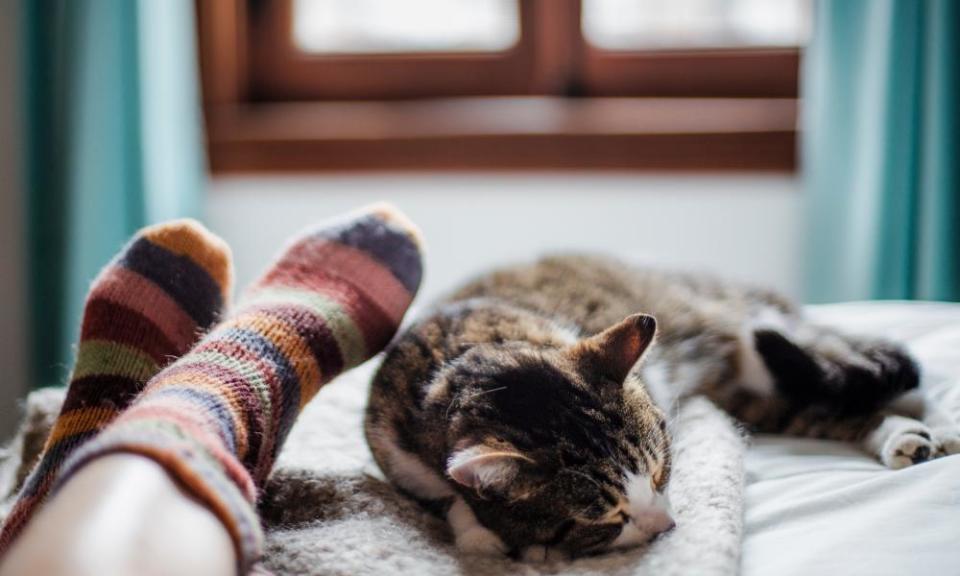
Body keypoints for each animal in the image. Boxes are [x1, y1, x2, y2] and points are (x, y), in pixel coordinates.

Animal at [364, 256, 956, 564]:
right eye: (605, 517)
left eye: (659, 470)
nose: (669, 525)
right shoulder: (393, 451)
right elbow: (445, 495)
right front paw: (479, 533)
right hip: (752, 392)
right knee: (820, 406)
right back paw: (904, 438)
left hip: (756, 334)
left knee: (865, 369)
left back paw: (930, 425)